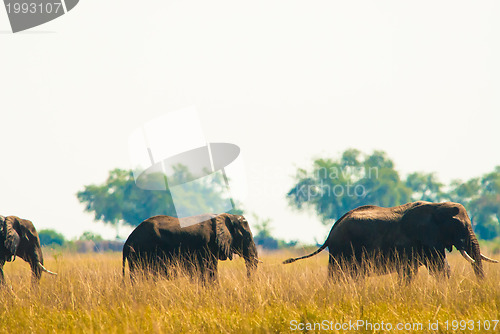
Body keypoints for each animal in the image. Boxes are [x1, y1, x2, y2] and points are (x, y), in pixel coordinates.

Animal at [284, 202, 498, 284]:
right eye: (461, 227)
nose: (481, 285)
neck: (437, 207)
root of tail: (332, 228)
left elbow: (441, 269)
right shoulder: (420, 239)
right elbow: (434, 268)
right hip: (342, 248)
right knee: (339, 275)